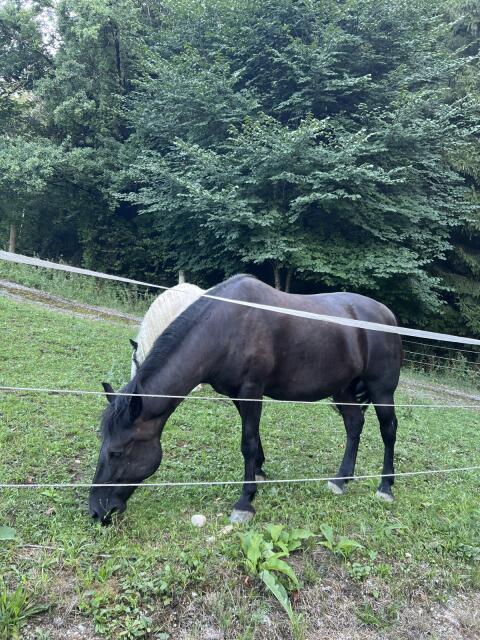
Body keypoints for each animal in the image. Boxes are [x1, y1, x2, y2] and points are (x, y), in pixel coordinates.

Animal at [89, 275, 403, 525]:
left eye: (116, 452)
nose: (95, 511)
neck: (227, 326)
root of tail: (387, 314)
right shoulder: (237, 394)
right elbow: (254, 439)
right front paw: (260, 473)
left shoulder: (252, 390)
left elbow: (247, 442)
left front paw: (245, 502)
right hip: (344, 389)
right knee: (354, 424)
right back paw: (341, 480)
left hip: (381, 390)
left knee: (388, 431)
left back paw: (385, 487)